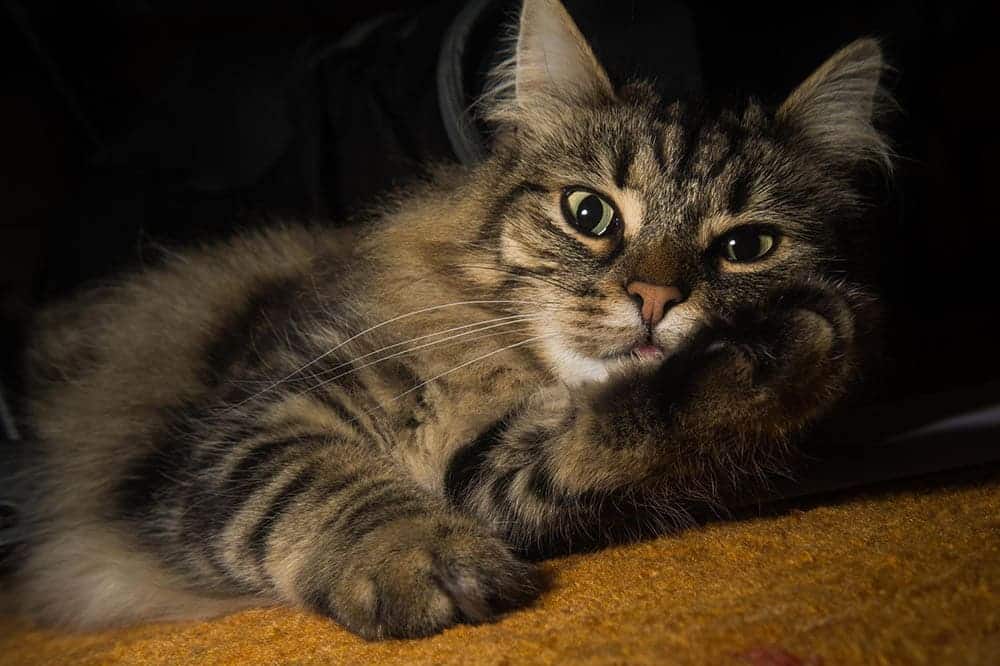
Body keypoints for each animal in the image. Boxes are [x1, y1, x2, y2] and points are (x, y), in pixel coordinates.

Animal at [5, 0, 892, 640]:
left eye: (748, 247)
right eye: (590, 213)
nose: (654, 300)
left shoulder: (495, 476)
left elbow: (616, 440)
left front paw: (781, 350)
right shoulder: (245, 426)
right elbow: (329, 485)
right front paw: (417, 562)